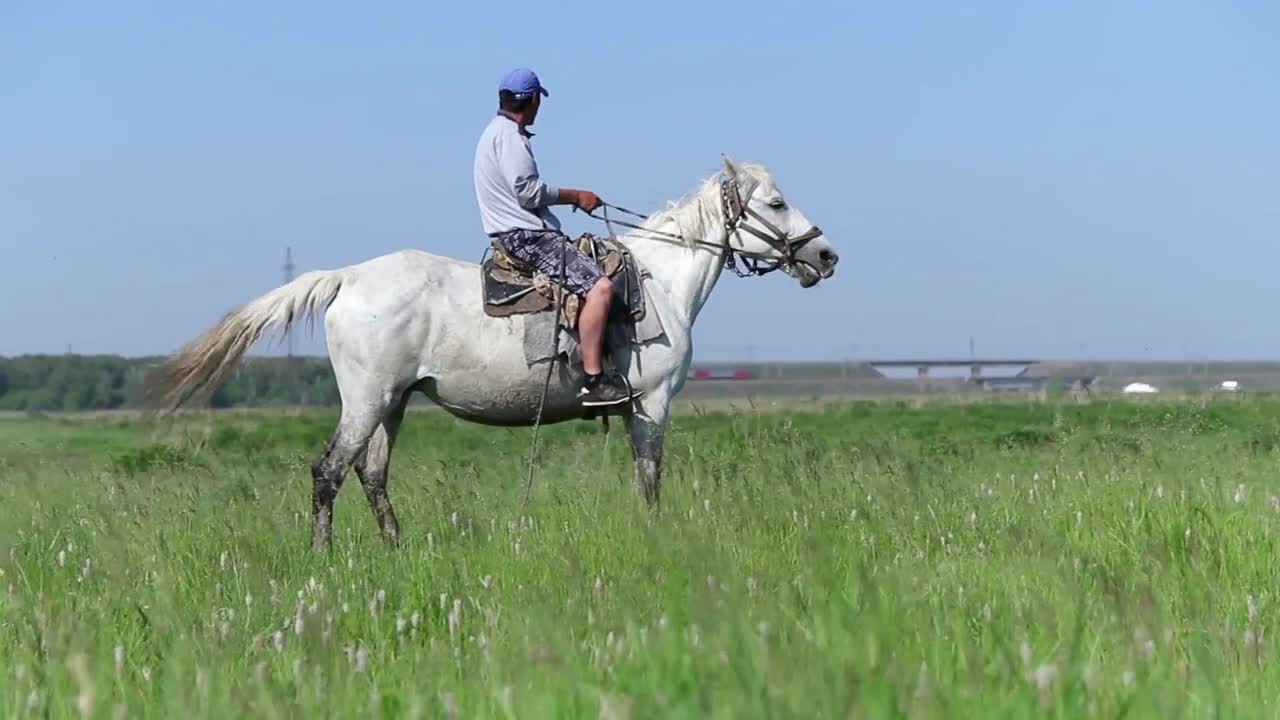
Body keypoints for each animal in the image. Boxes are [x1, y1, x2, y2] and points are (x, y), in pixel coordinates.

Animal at [147, 156, 839, 545]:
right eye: (775, 202)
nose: (826, 255)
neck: (661, 282)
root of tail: (348, 277)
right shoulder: (652, 406)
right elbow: (650, 479)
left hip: (393, 402)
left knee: (372, 475)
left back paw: (396, 549)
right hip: (366, 400)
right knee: (329, 473)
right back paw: (323, 558)